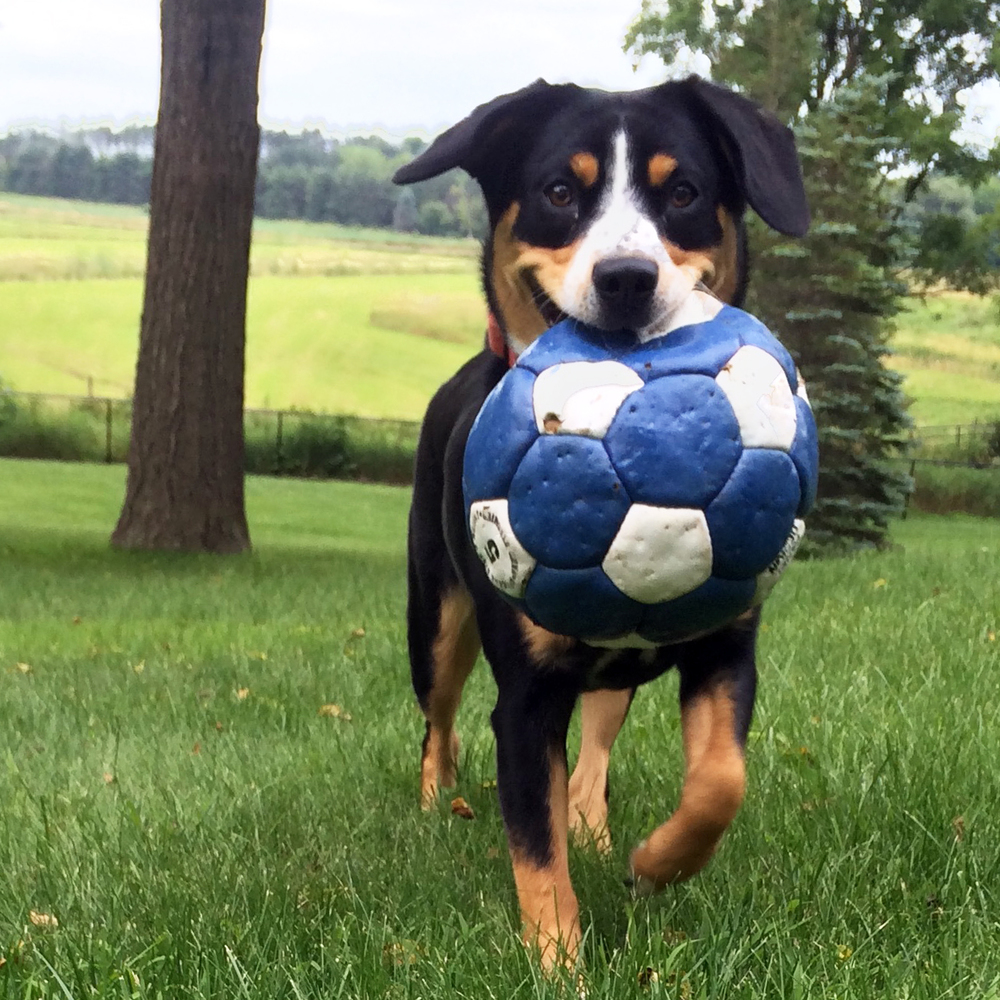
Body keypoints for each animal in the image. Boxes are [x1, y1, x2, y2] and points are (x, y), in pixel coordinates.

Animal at [394, 78, 808, 968]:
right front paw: (559, 966)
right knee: (437, 719)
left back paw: (593, 825)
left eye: (682, 192)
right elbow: (535, 852)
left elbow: (721, 780)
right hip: (434, 614)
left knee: (595, 749)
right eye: (559, 190)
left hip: (608, 676)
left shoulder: (727, 647)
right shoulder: (524, 697)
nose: (626, 277)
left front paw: (657, 862)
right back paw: (436, 803)